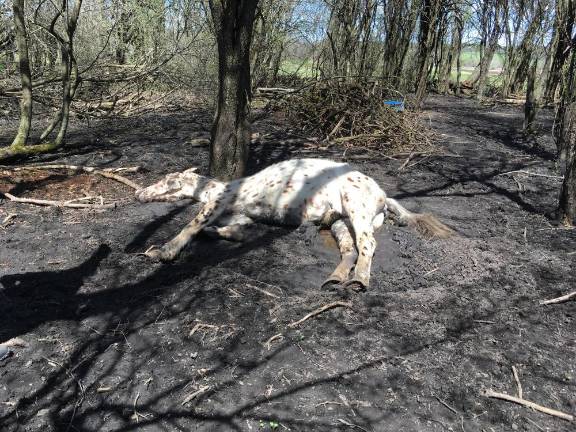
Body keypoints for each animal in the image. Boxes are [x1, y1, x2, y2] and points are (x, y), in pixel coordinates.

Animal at [136, 159, 454, 290]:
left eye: (163, 181)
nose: (139, 194)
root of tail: (383, 195)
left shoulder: (218, 202)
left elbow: (192, 224)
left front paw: (164, 251)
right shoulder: (242, 216)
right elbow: (235, 231)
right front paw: (214, 232)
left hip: (356, 207)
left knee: (368, 244)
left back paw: (360, 280)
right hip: (341, 221)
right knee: (350, 249)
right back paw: (335, 279)